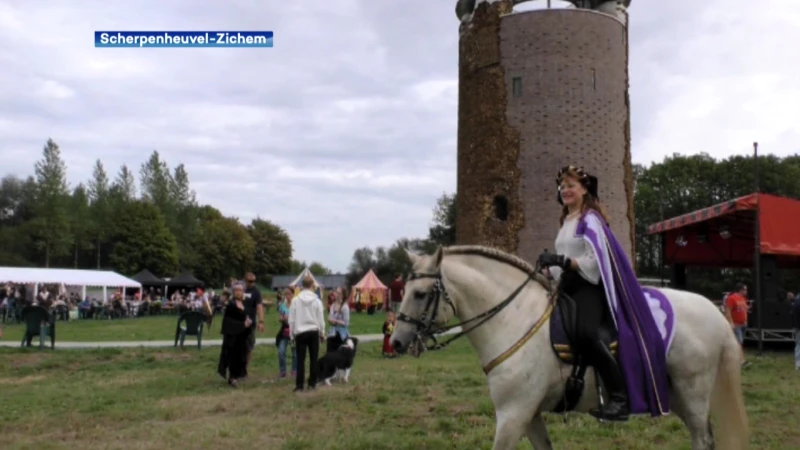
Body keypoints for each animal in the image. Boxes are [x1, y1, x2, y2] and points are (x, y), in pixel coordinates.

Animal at [390, 246, 748, 450]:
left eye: (420, 293)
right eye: (403, 289)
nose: (396, 341)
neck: (513, 317)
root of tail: (714, 312)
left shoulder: (513, 413)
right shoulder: (530, 414)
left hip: (693, 394)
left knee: (703, 440)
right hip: (677, 397)